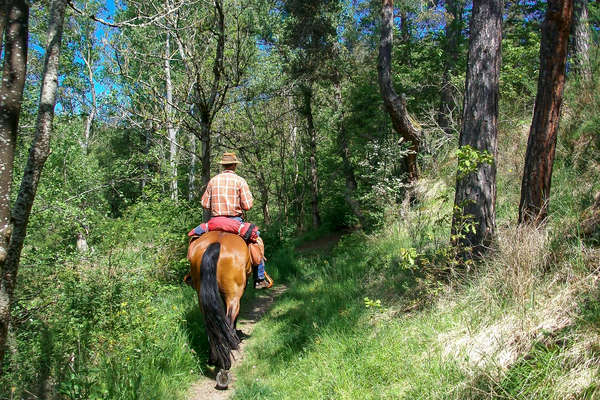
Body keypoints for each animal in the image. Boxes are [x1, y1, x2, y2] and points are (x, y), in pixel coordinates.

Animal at [188, 230, 253, 390]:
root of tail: (217, 243)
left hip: (201, 295)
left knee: (211, 324)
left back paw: (214, 358)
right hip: (234, 294)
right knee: (228, 319)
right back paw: (225, 366)